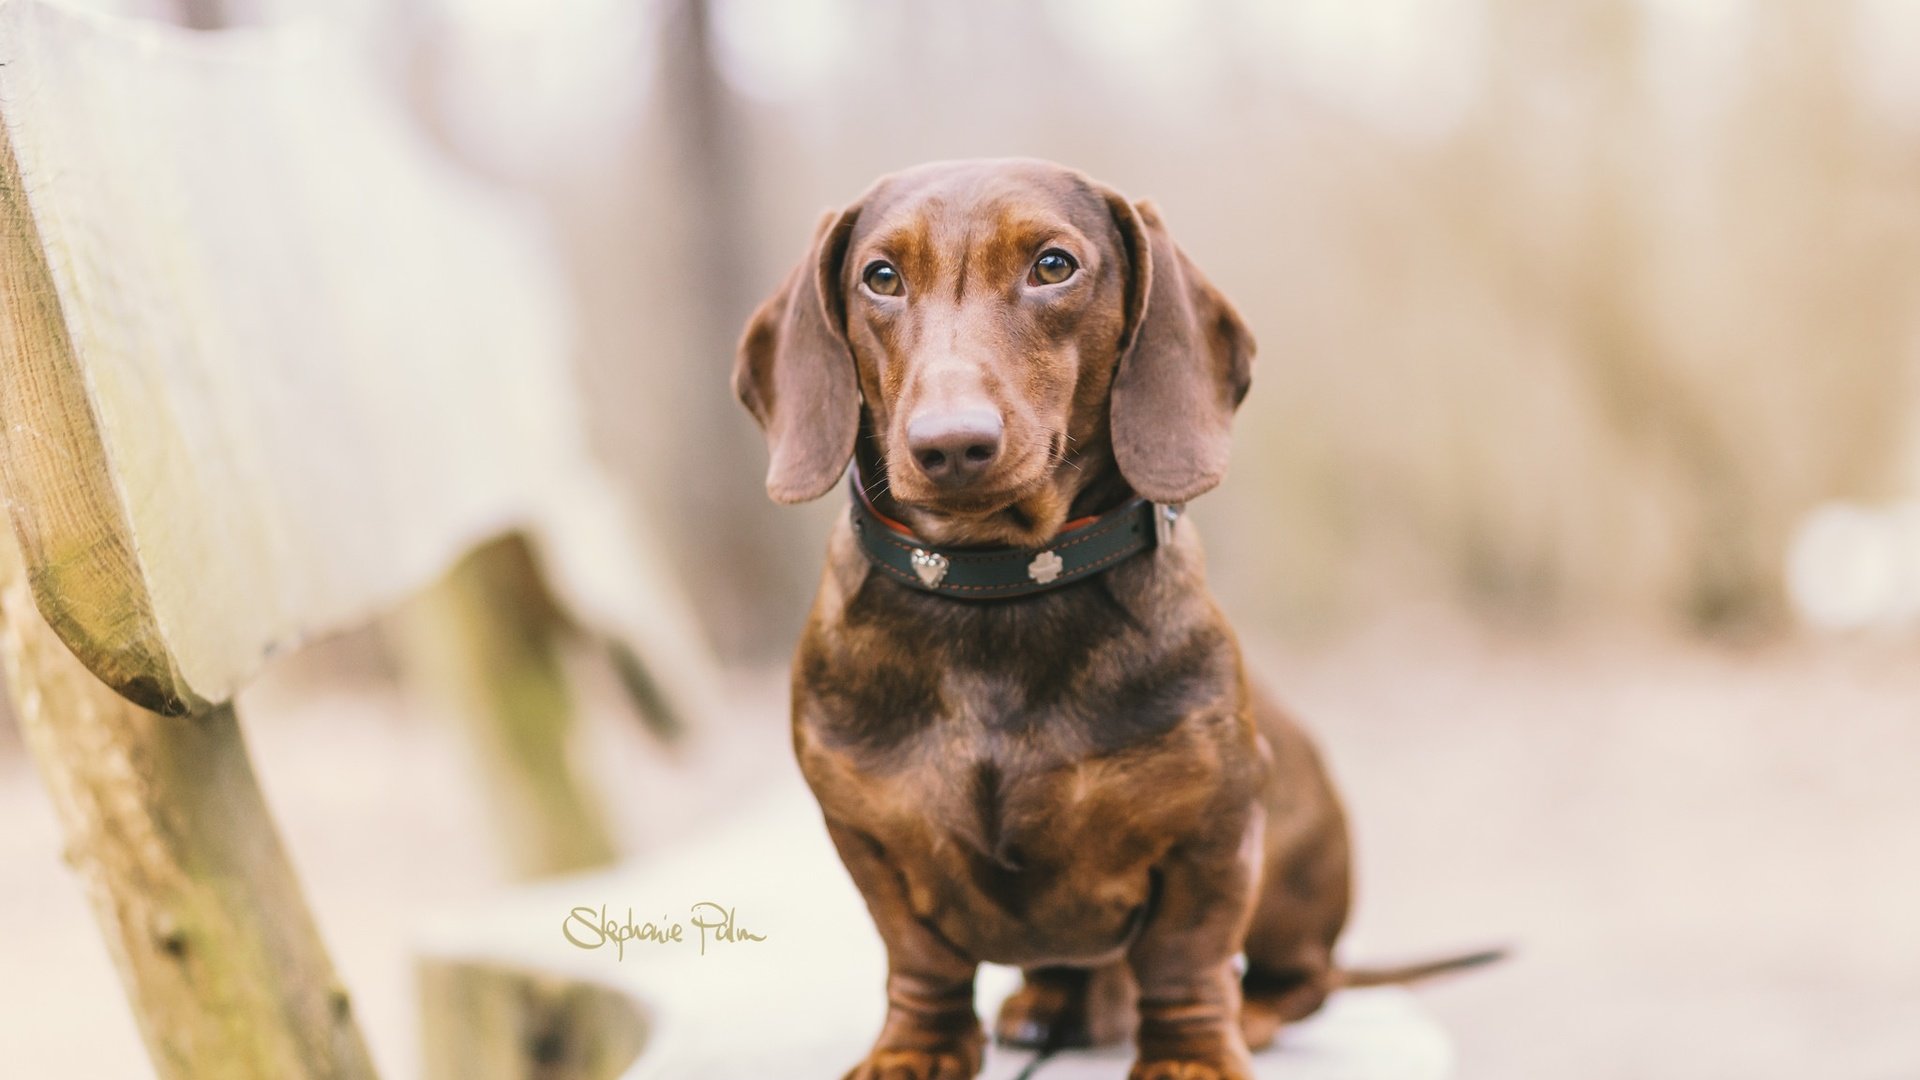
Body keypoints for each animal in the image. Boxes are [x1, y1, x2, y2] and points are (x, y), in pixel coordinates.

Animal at [729, 159, 1482, 1076]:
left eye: (1053, 265)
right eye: (880, 277)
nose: (950, 445)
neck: (998, 589)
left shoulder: (1213, 827)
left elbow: (1185, 957)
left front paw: (1192, 1054)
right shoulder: (866, 838)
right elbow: (920, 957)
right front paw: (915, 1048)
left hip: (1298, 871)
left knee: (1301, 980)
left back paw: (1245, 1011)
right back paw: (1048, 1003)